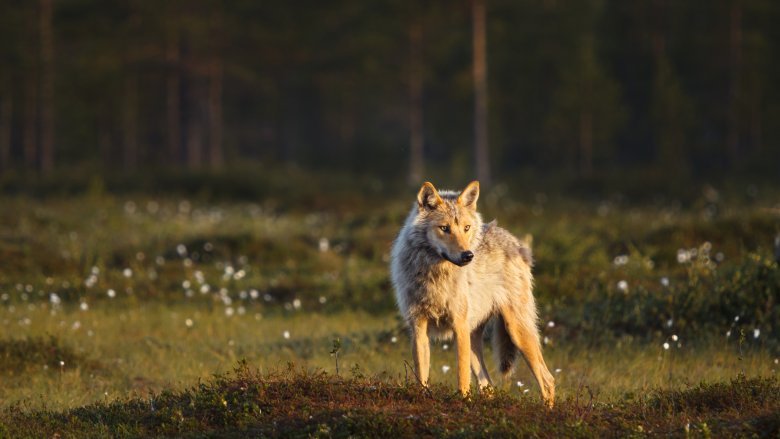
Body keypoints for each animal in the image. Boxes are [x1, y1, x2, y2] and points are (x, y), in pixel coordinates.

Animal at [390, 180, 556, 408]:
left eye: (466, 228)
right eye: (445, 228)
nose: (468, 255)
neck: (435, 274)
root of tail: (516, 242)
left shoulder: (458, 326)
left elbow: (462, 377)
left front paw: (463, 403)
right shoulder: (418, 327)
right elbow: (421, 375)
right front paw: (422, 400)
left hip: (516, 331)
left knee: (548, 380)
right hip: (476, 341)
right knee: (489, 386)